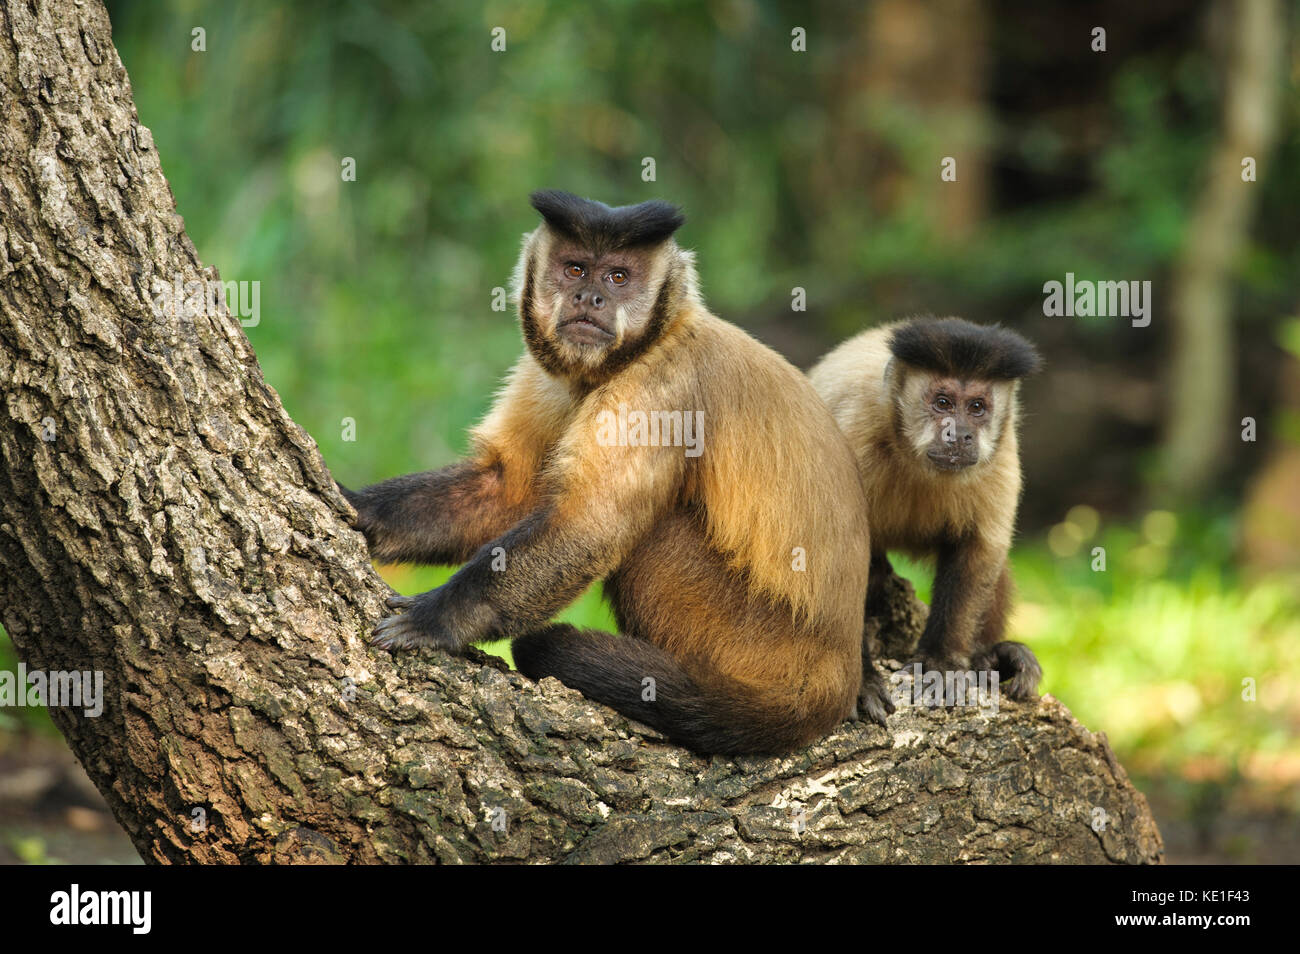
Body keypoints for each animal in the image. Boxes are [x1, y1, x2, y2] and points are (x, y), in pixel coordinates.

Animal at [335, 194, 894, 759]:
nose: (590, 296)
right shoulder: (552, 377)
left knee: (652, 528)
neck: (643, 348)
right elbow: (507, 492)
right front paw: (359, 508)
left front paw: (438, 620)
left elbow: (589, 527)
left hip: (756, 642)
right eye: (575, 269)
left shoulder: (661, 386)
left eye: (619, 277)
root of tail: (836, 670)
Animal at [811, 321, 1045, 701]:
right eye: (943, 403)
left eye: (977, 407)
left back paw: (995, 656)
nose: (959, 433)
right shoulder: (852, 431)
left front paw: (942, 663)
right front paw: (858, 680)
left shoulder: (1002, 453)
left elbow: (979, 551)